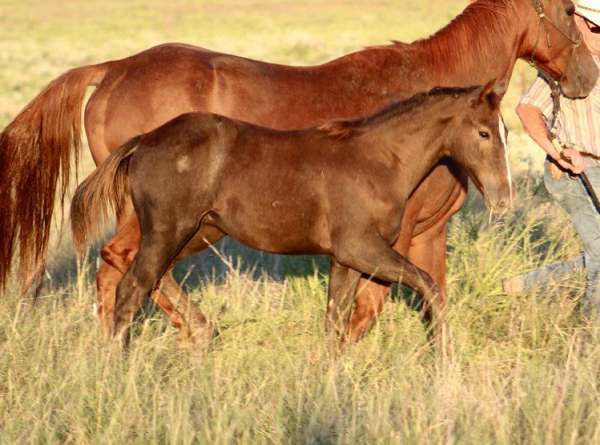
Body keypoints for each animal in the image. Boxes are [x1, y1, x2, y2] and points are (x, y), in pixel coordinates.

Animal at [70, 85, 510, 346]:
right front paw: (442, 353)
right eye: (484, 133)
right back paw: (120, 364)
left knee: (154, 277)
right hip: (168, 231)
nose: (504, 199)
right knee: (132, 288)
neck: (381, 161)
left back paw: (203, 332)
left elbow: (335, 320)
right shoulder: (362, 249)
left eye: (505, 131)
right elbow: (428, 286)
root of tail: (144, 141)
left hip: (199, 232)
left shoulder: (346, 259)